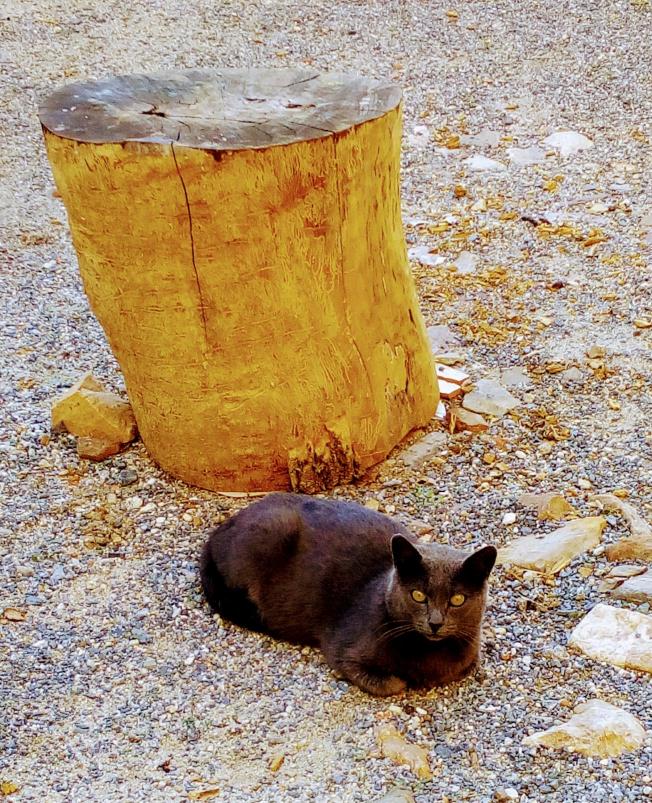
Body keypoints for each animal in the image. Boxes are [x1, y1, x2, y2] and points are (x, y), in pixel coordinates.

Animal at [199, 493, 497, 696]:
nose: (435, 623)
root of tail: (215, 534)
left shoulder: (470, 655)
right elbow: (393, 683)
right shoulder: (344, 652)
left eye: (457, 600)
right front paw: (404, 680)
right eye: (418, 596)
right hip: (271, 531)